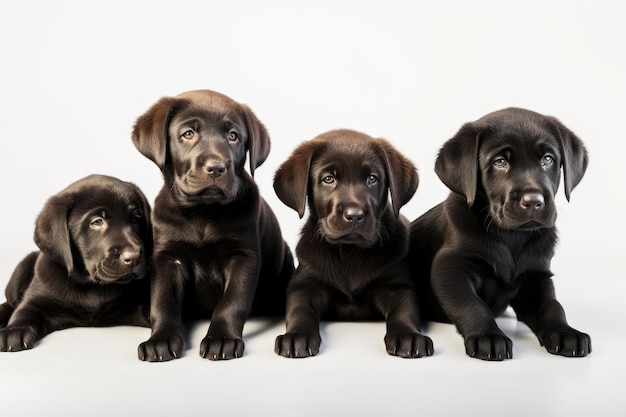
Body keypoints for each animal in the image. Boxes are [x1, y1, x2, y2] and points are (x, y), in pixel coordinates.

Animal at [0, 173, 151, 352]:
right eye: (97, 222)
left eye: (136, 219)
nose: (134, 257)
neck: (92, 286)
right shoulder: (36, 299)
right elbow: (23, 311)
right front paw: (14, 330)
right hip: (20, 270)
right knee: (11, 303)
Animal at [132, 88, 292, 360]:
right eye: (188, 133)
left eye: (233, 136)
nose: (217, 167)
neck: (202, 213)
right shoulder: (166, 258)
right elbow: (163, 302)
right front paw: (160, 339)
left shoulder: (243, 256)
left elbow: (232, 301)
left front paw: (222, 338)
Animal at [276, 129, 432, 358]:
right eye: (328, 179)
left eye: (372, 178)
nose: (355, 216)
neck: (349, 252)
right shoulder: (304, 285)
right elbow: (299, 310)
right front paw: (297, 335)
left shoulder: (397, 285)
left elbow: (404, 309)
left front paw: (408, 335)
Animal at [410, 109, 588, 360]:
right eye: (500, 162)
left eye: (548, 159)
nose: (533, 202)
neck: (511, 236)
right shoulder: (449, 267)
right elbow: (472, 304)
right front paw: (488, 336)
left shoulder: (536, 275)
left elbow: (553, 306)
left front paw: (564, 332)